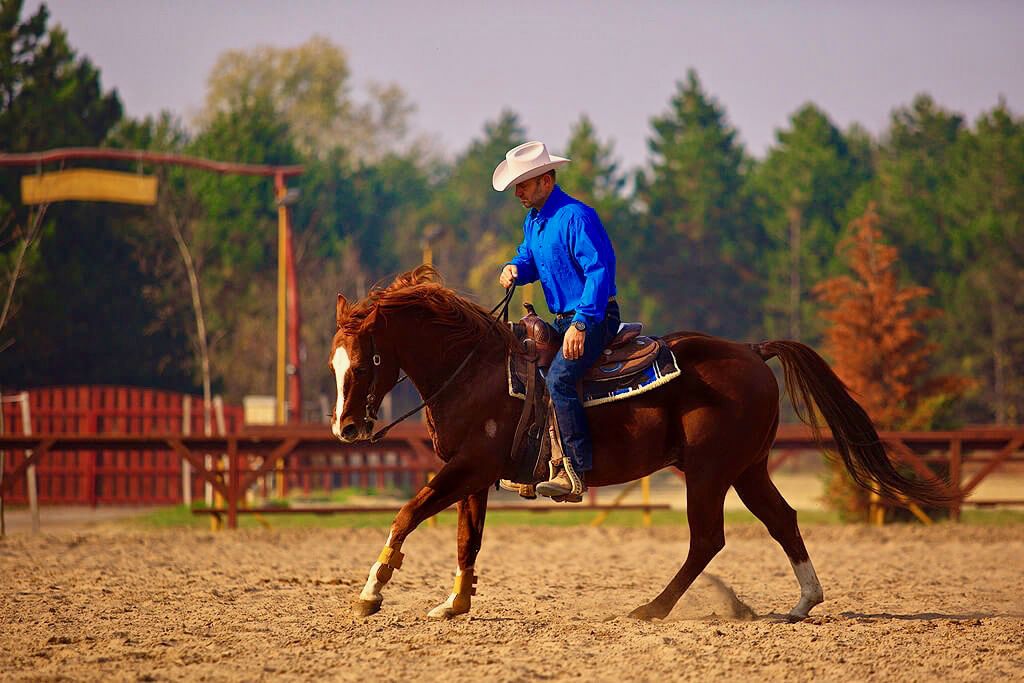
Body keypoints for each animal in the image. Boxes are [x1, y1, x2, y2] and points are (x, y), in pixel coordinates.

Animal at [331, 266, 954, 618]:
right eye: (334, 363)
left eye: (363, 363)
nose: (348, 429)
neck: (476, 370)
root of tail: (753, 351)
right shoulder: (474, 473)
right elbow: (468, 539)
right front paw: (455, 603)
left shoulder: (468, 467)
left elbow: (407, 514)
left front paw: (371, 593)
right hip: (748, 468)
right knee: (783, 520)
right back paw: (803, 602)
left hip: (708, 472)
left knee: (707, 539)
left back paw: (653, 607)